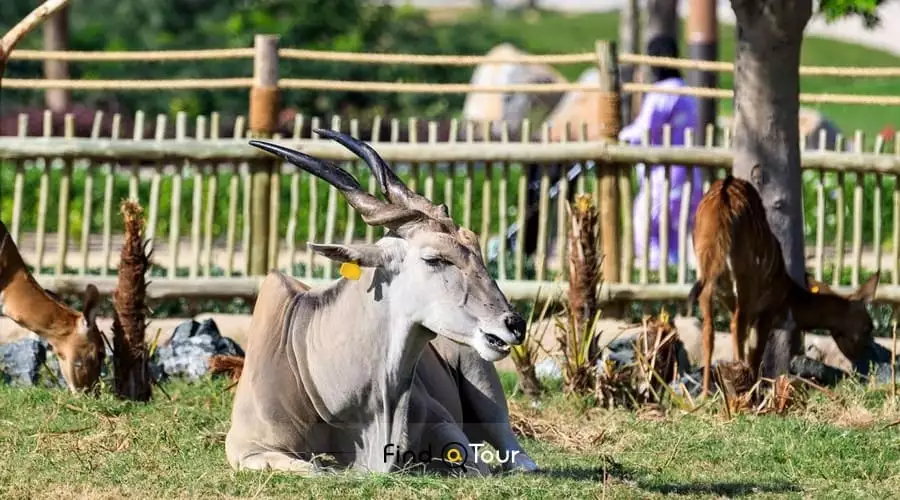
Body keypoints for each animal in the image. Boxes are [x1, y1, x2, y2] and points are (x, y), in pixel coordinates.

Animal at [225, 129, 536, 476]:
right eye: (434, 258)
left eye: (477, 247)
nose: (514, 324)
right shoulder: (247, 449)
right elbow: (315, 468)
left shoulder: (443, 421)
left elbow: (475, 464)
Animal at [688, 176, 880, 398]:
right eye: (869, 326)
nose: (866, 362)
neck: (788, 294)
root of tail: (723, 197)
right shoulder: (766, 310)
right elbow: (755, 353)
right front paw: (756, 395)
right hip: (743, 280)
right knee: (735, 327)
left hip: (705, 273)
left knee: (709, 330)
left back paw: (704, 395)